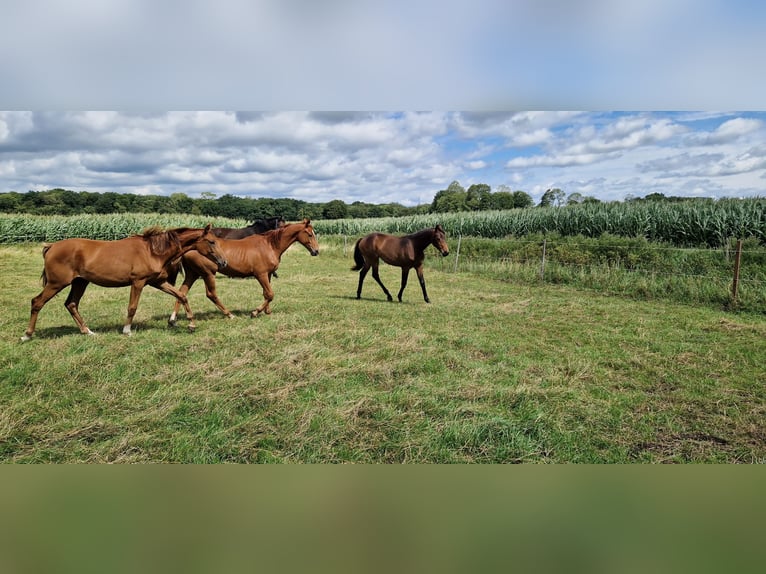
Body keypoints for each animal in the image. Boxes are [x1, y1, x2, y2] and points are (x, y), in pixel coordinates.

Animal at [21, 225, 228, 342]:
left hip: (80, 282)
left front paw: (191, 324)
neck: (152, 251)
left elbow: (182, 295)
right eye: (211, 242)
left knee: (71, 304)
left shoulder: (158, 282)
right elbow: (132, 307)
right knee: (37, 302)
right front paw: (127, 330)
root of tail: (51, 247)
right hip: (57, 283)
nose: (224, 262)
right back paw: (27, 335)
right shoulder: (138, 282)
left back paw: (87, 331)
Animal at [170, 218, 320, 324]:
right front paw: (255, 312)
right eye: (309, 234)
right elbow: (270, 294)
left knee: (181, 293)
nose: (316, 251)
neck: (269, 245)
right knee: (211, 294)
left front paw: (267, 311)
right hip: (207, 274)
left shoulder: (268, 274)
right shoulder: (261, 275)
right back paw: (229, 314)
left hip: (193, 274)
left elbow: (266, 294)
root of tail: (188, 248)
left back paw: (173, 319)